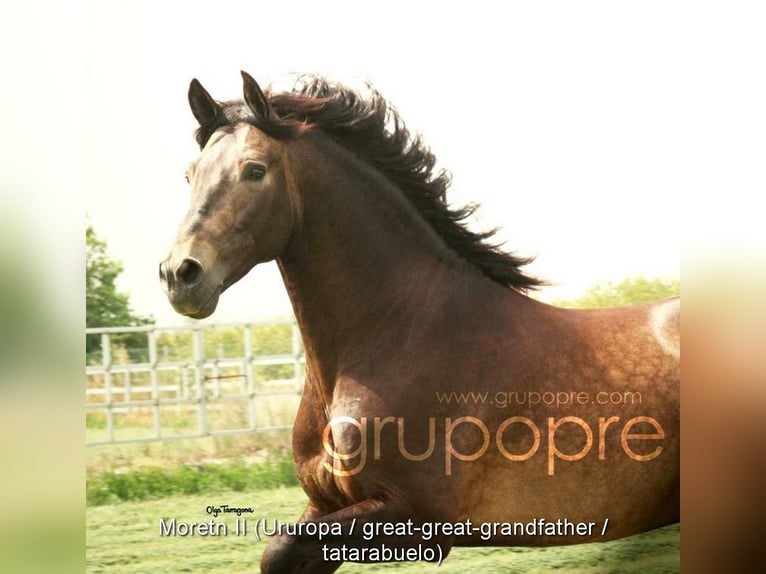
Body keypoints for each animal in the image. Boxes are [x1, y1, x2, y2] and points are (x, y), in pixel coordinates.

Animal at [159, 71, 680, 572]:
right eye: (189, 175)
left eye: (255, 170)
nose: (179, 275)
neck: (398, 333)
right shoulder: (326, 502)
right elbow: (279, 554)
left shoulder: (415, 518)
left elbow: (286, 546)